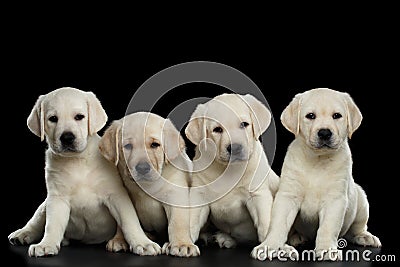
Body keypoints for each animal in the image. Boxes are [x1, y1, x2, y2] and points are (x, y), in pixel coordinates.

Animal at [8, 88, 161, 258]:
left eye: (79, 117)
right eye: (53, 119)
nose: (67, 137)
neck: (77, 161)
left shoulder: (116, 195)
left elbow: (129, 221)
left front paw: (143, 243)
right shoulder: (57, 198)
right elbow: (52, 224)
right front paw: (47, 244)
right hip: (46, 203)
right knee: (37, 219)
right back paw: (23, 233)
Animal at [99, 112, 199, 258]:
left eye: (154, 145)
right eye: (128, 146)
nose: (142, 168)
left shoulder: (176, 195)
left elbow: (178, 222)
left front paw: (182, 244)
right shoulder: (122, 195)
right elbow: (124, 220)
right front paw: (119, 239)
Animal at [186, 95, 280, 254]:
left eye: (244, 124)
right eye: (217, 129)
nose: (235, 148)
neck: (228, 169)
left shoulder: (257, 195)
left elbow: (265, 223)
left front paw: (269, 246)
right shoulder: (199, 195)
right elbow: (191, 221)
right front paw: (183, 243)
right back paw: (221, 238)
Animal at [253, 88, 382, 262]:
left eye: (337, 115)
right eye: (310, 116)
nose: (325, 133)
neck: (317, 160)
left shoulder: (335, 200)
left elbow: (327, 228)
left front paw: (327, 249)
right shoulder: (287, 196)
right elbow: (278, 224)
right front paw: (268, 246)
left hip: (361, 201)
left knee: (355, 228)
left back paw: (365, 237)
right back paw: (297, 237)